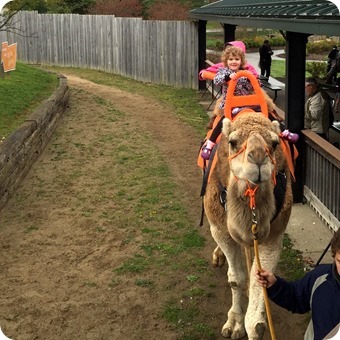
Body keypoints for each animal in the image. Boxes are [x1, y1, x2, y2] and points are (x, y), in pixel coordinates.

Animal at [203, 111, 294, 338]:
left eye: (274, 143)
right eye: (233, 142)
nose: (258, 157)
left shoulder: (273, 236)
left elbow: (257, 289)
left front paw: (253, 324)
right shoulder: (220, 228)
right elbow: (236, 278)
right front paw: (234, 323)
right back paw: (218, 256)